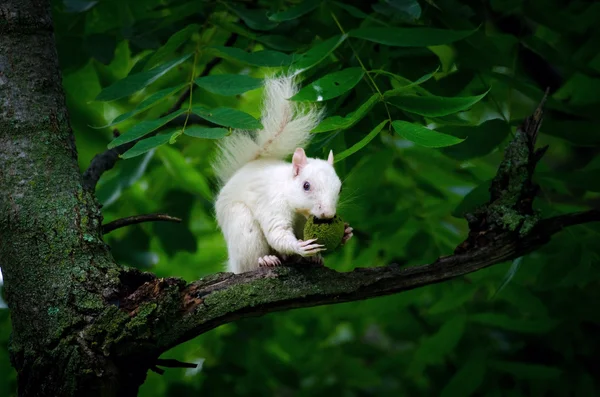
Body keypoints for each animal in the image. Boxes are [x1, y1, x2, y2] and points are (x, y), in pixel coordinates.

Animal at [212, 75, 352, 272]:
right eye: (306, 185)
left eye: (339, 189)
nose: (328, 214)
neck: (300, 211)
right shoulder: (272, 204)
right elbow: (277, 233)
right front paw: (299, 247)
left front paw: (346, 232)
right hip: (242, 226)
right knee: (248, 262)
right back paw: (265, 259)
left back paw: (314, 258)